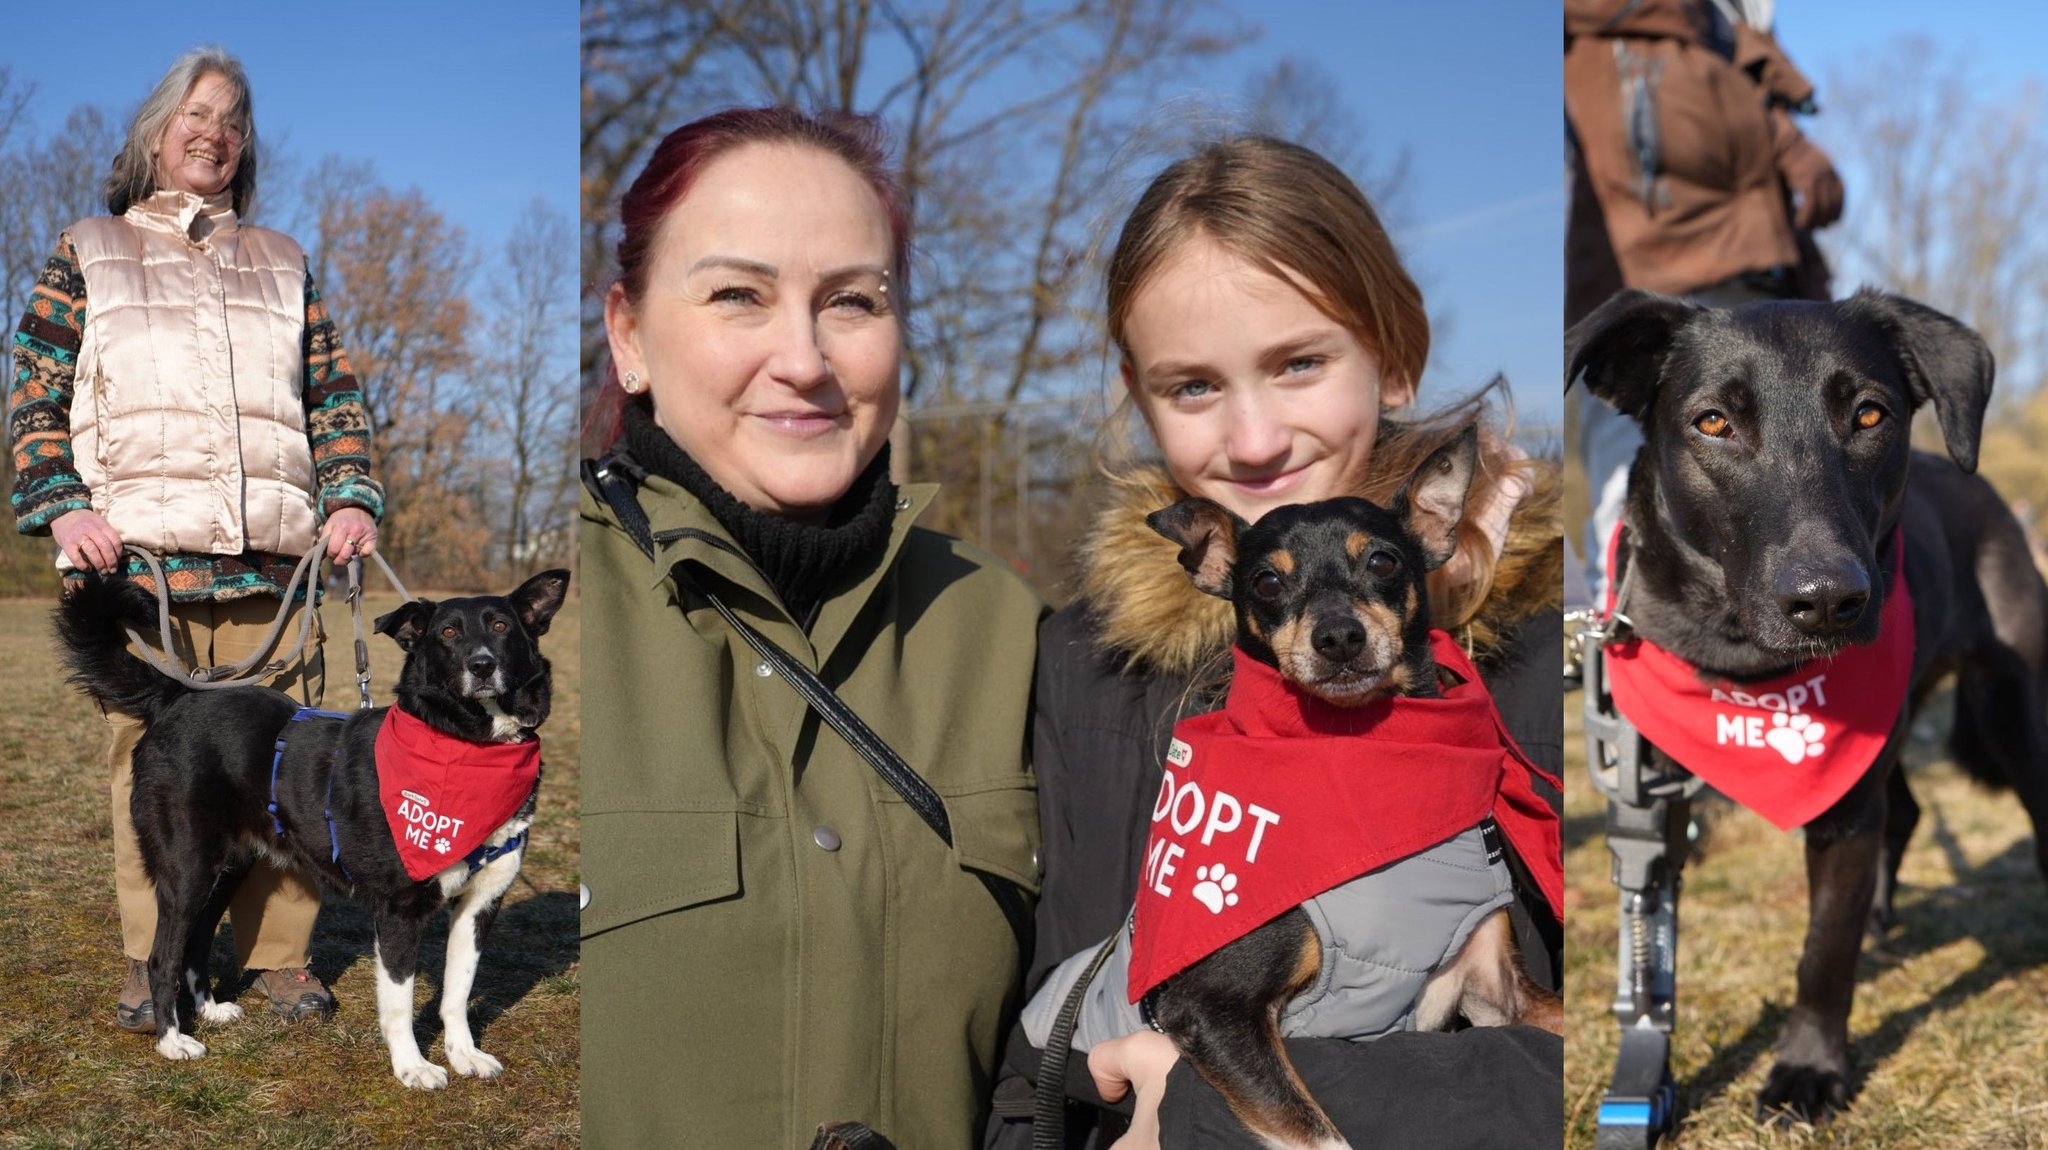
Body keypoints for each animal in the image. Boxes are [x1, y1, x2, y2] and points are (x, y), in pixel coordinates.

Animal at [56, 568, 569, 1088]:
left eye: (501, 627)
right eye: (448, 633)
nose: (482, 665)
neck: (468, 747)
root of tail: (176, 698)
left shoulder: (480, 905)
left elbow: (457, 993)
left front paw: (464, 1055)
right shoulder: (399, 910)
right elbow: (400, 1003)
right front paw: (412, 1068)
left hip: (229, 867)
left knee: (196, 939)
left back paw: (211, 1010)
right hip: (187, 868)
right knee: (163, 955)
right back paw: (171, 1040)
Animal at [1146, 429, 1556, 1145]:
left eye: (1384, 562)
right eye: (1266, 580)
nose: (1338, 636)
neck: (1376, 756)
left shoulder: (1498, 990)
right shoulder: (1209, 1009)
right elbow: (1320, 1132)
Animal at [1572, 286, 2048, 1121]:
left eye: (1869, 413)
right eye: (1713, 422)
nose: (1828, 600)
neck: (1749, 675)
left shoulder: (1844, 808)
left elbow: (1824, 948)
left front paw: (1807, 1068)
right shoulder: (1646, 797)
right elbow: (1650, 933)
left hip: (2013, 709)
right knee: (1910, 811)